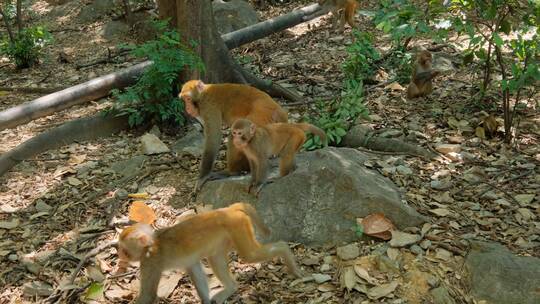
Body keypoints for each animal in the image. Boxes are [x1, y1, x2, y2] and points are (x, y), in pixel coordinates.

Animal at [118, 202, 304, 304]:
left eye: (124, 250)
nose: (120, 257)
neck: (152, 243)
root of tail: (228, 210)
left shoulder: (150, 262)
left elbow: (148, 296)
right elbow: (195, 271)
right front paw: (205, 300)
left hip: (238, 227)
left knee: (250, 255)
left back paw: (285, 252)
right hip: (230, 234)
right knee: (216, 258)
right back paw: (231, 288)